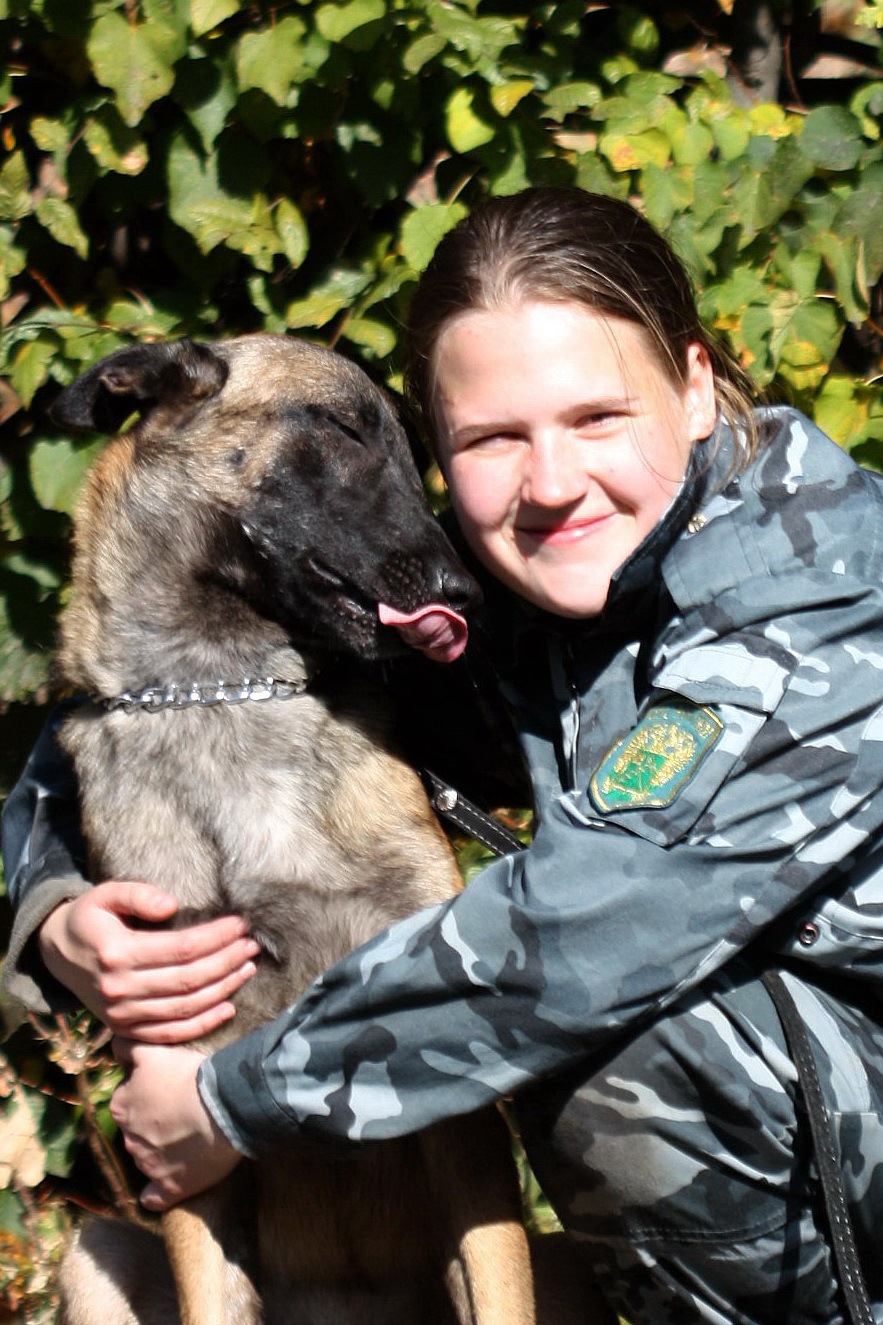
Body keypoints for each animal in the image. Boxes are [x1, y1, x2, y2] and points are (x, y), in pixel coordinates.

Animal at [49, 334, 537, 1325]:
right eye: (344, 428)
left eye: (412, 449)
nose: (465, 595)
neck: (220, 690)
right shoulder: (181, 1118)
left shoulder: (458, 1115)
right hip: (91, 1249)